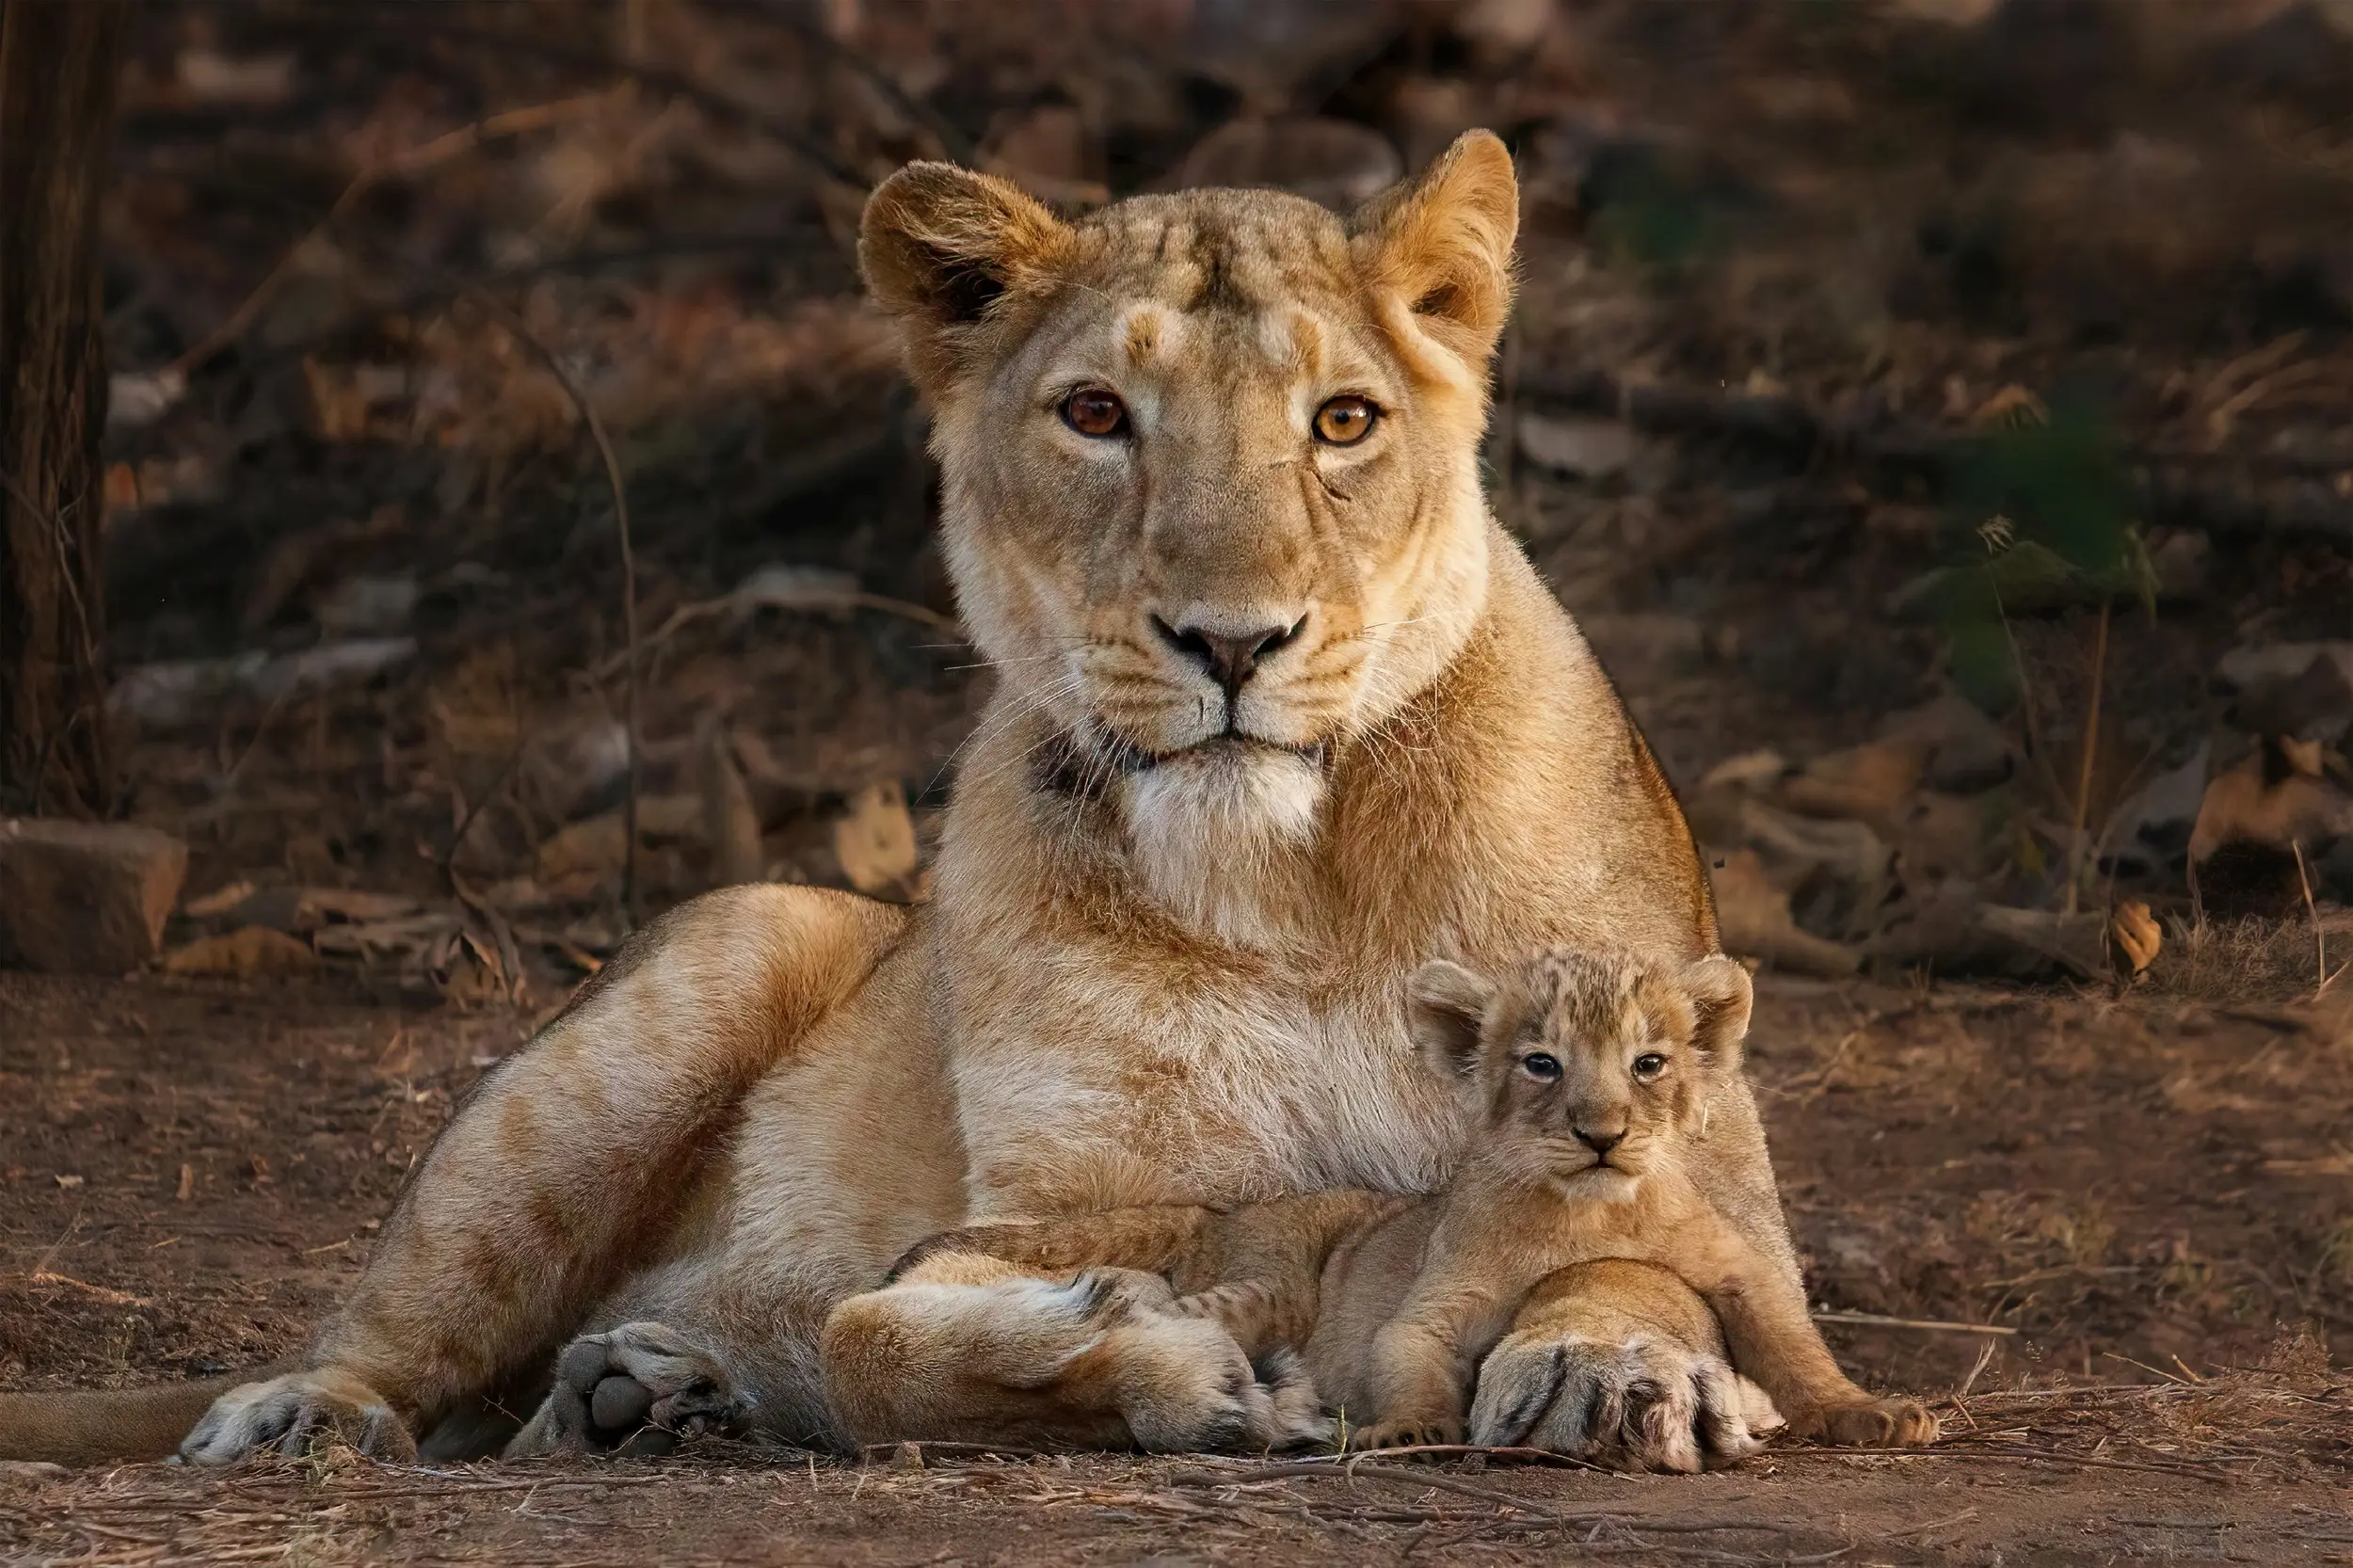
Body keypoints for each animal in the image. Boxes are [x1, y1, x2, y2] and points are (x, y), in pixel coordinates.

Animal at [0, 130, 1797, 1471]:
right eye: (1097, 415)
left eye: (1343, 421)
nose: (1232, 642)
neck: (1292, 884)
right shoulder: (1063, 1207)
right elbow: (878, 1341)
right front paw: (1149, 1356)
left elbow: (1634, 1240)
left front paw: (1609, 1366)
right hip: (713, 959)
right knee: (408, 1333)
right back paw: (348, 1411)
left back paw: (652, 1389)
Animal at [870, 949, 1933, 1464]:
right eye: (1540, 1063)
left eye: (1649, 1061)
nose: (1600, 1132)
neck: (1594, 1212)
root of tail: (1230, 1210)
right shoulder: (1439, 1296)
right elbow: (1409, 1349)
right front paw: (1413, 1428)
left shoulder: (1735, 1270)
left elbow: (1795, 1345)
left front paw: (1871, 1413)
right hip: (1264, 1284)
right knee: (1174, 1313)